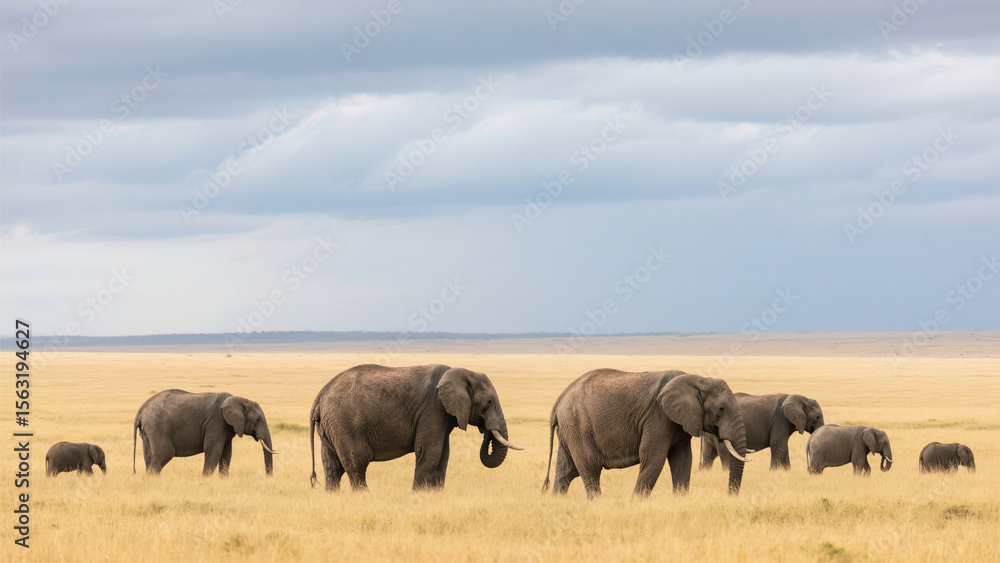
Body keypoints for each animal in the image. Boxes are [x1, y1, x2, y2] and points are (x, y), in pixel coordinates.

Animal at [133, 390, 278, 476]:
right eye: (258, 420)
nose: (268, 478)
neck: (240, 399)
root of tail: (142, 408)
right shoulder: (217, 422)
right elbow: (214, 451)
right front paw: (205, 480)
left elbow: (227, 453)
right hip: (158, 428)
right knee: (163, 454)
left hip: (148, 431)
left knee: (149, 458)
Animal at [309, 364, 522, 491]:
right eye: (489, 402)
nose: (485, 429)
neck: (461, 371)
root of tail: (320, 395)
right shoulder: (433, 409)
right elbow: (430, 452)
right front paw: (417, 496)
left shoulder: (442, 416)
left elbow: (443, 455)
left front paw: (435, 496)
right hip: (345, 424)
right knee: (356, 465)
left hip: (331, 426)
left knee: (332, 469)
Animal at [542, 369, 751, 498]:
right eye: (721, 409)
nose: (730, 495)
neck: (697, 379)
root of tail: (559, 400)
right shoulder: (658, 416)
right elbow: (653, 458)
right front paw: (635, 502)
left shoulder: (681, 421)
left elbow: (683, 459)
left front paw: (680, 500)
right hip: (579, 425)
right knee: (590, 469)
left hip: (570, 428)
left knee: (566, 473)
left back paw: (557, 502)